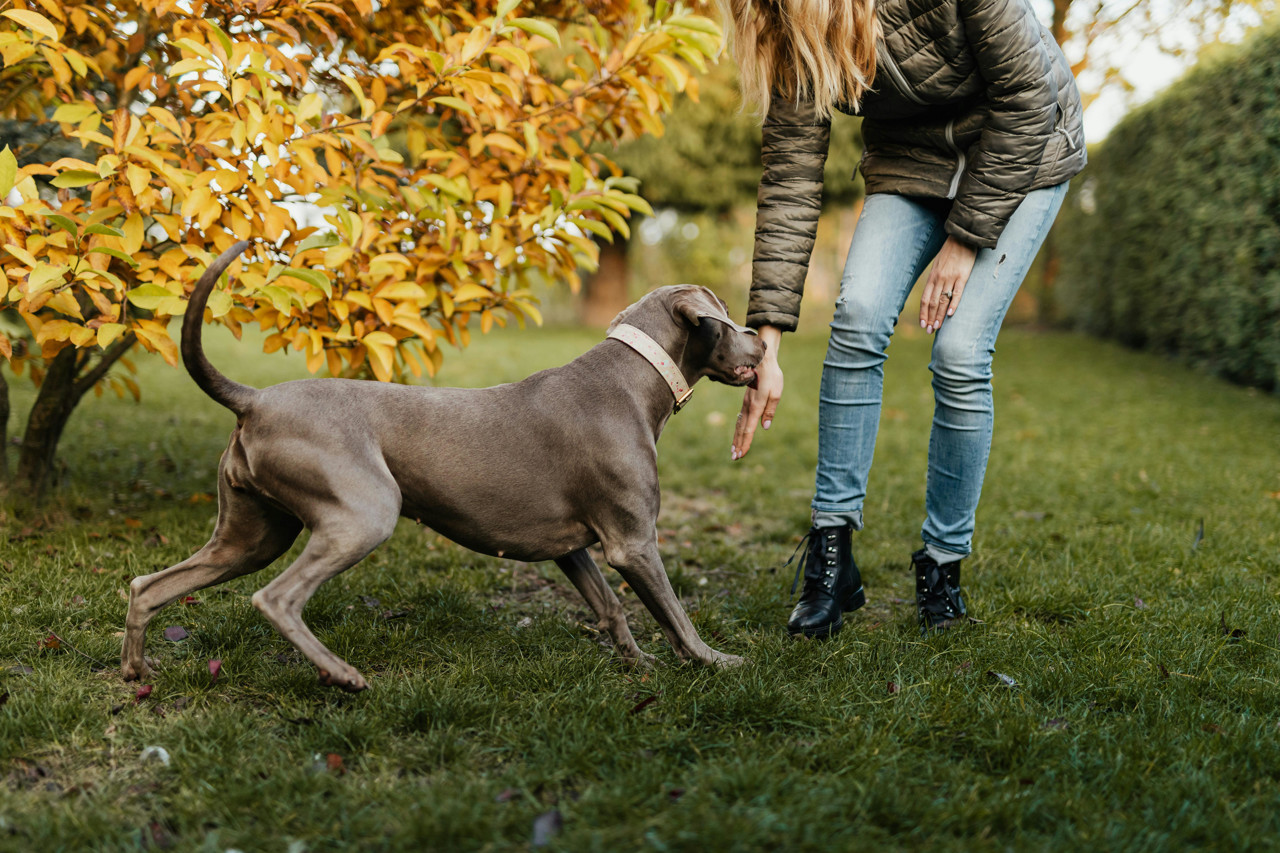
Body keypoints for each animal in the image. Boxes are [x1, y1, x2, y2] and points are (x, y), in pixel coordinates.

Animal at [120, 239, 762, 691]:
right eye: (730, 317)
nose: (760, 339)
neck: (633, 380)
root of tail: (253, 398)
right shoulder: (632, 541)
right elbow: (675, 615)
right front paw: (717, 661)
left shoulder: (569, 546)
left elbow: (610, 608)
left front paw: (639, 664)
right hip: (365, 512)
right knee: (276, 599)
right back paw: (342, 675)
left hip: (251, 535)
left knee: (149, 584)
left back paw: (137, 671)